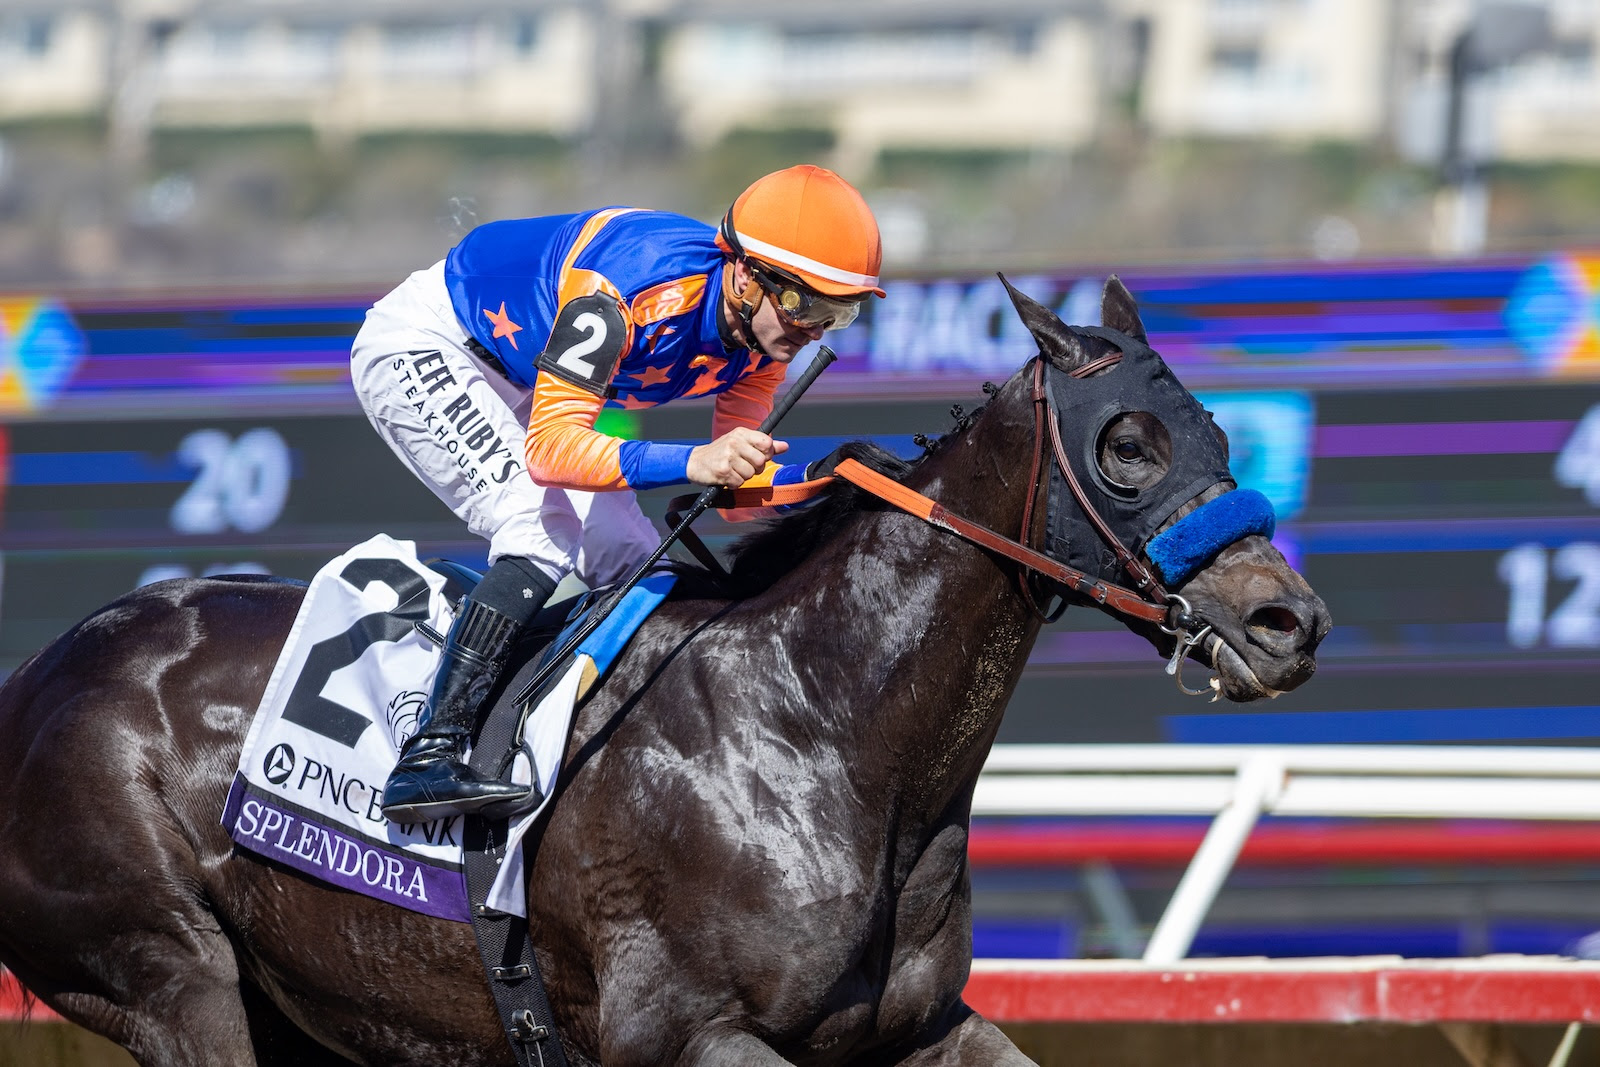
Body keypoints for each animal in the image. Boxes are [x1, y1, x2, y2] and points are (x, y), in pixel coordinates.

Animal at [0, 277, 1328, 1066]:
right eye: (1126, 445)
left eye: (1219, 431)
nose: (1287, 619)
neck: (824, 724)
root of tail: (39, 674)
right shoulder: (685, 1029)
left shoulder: (918, 1030)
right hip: (170, 970)